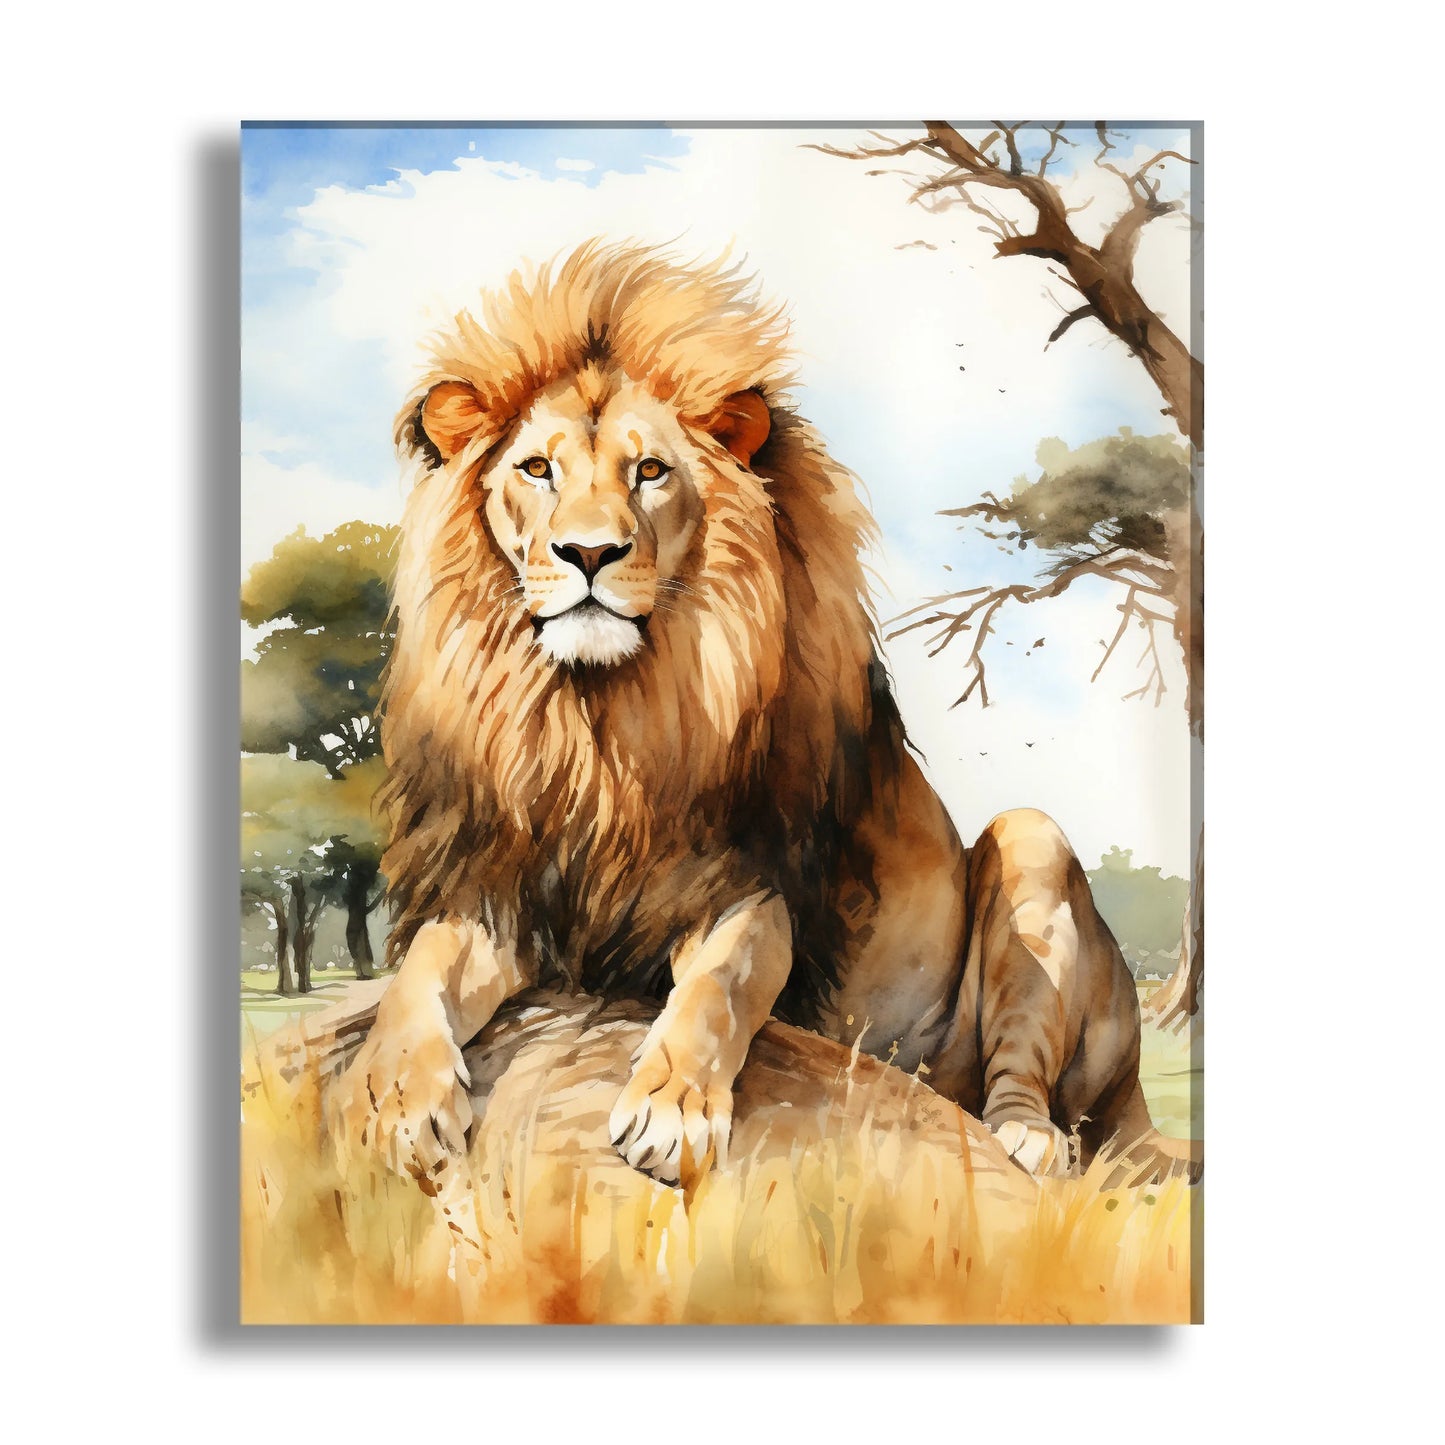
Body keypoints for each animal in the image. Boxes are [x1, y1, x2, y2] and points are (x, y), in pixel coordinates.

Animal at [329, 240, 1172, 1187]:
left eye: (649, 471)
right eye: (536, 469)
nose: (588, 552)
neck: (602, 720)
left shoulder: (751, 885)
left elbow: (718, 990)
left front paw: (670, 1110)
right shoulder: (500, 889)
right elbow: (417, 980)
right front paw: (392, 1103)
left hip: (1035, 849)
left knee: (1035, 1084)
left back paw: (1027, 1138)